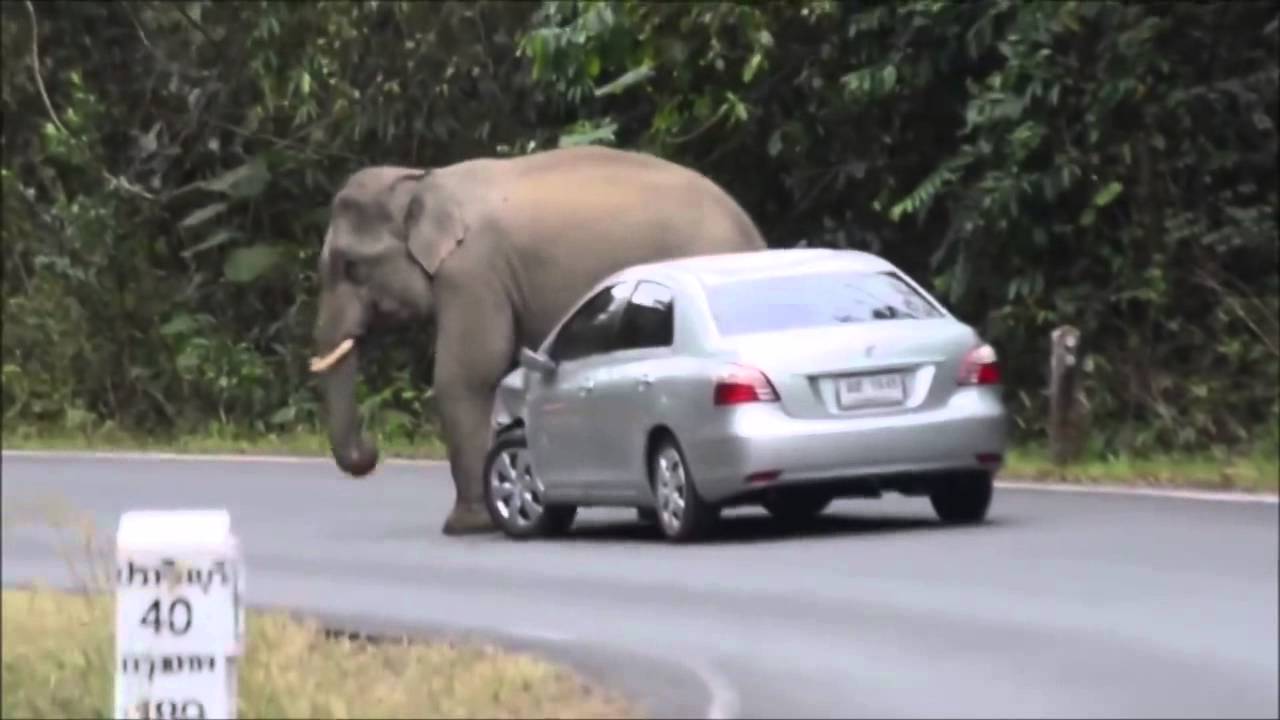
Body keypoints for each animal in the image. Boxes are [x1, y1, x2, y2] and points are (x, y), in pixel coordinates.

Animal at [308, 145, 767, 536]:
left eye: (351, 266)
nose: (370, 451)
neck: (423, 180)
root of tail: (752, 232)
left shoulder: (473, 271)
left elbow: (468, 375)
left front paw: (465, 526)